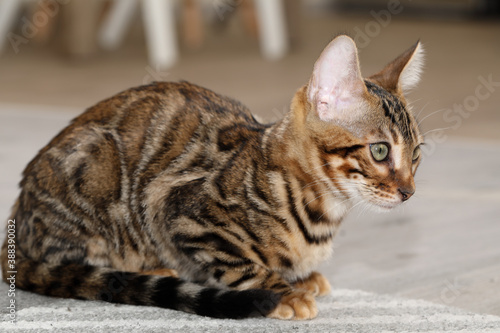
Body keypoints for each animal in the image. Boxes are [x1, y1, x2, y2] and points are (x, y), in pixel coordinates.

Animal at [1, 35, 426, 320]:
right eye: (380, 151)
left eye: (417, 154)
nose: (409, 192)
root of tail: (16, 225)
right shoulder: (179, 212)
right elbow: (243, 266)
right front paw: (284, 292)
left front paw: (303, 277)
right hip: (96, 176)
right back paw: (147, 268)